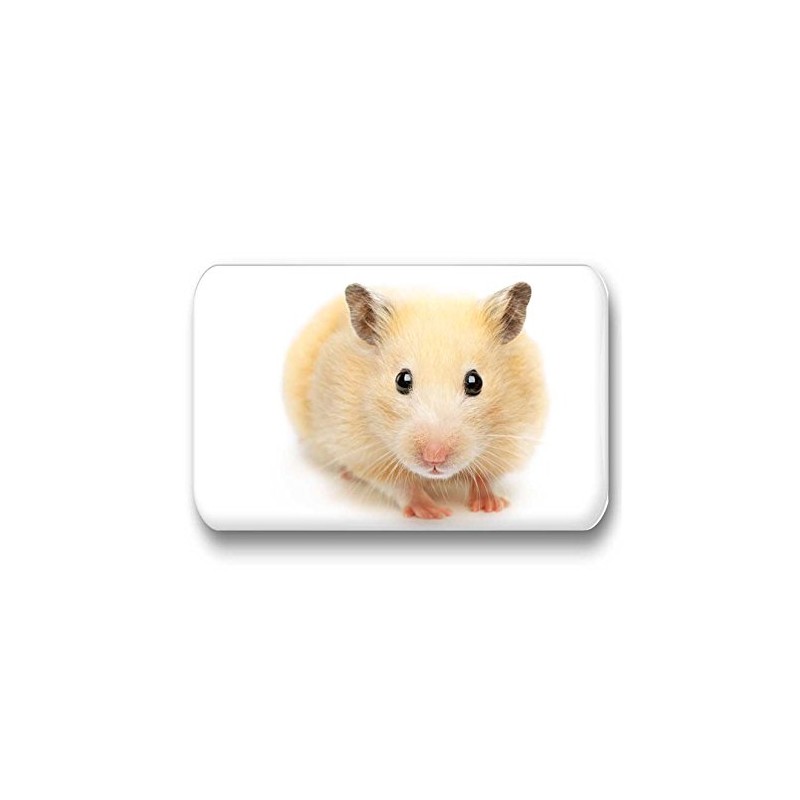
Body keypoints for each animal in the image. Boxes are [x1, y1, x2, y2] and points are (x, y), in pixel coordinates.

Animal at [283, 282, 547, 519]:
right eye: (402, 379)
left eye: (475, 382)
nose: (434, 458)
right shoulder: (363, 452)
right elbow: (400, 485)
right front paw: (434, 513)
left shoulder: (514, 438)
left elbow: (485, 476)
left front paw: (491, 505)